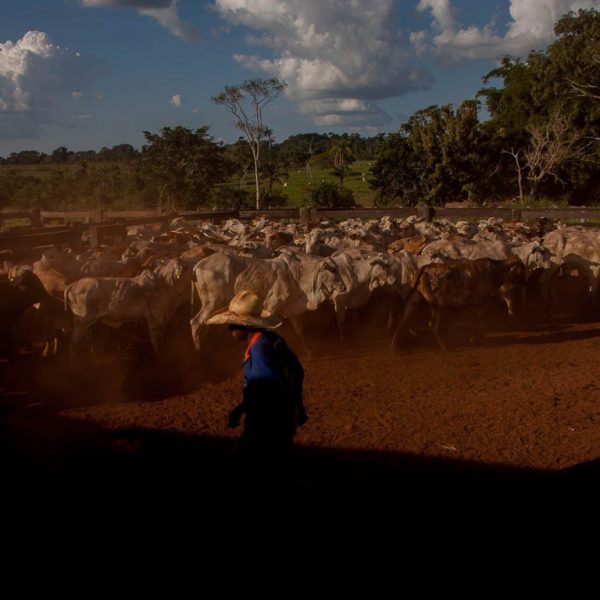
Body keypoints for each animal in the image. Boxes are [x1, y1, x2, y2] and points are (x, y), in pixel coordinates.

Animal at [391, 256, 525, 351]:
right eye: (520, 270)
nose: (523, 284)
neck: (496, 270)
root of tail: (426, 268)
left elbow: (475, 320)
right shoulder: (483, 302)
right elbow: (479, 320)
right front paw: (474, 339)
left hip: (415, 299)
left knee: (403, 318)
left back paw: (395, 346)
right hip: (439, 305)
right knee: (432, 324)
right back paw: (445, 347)